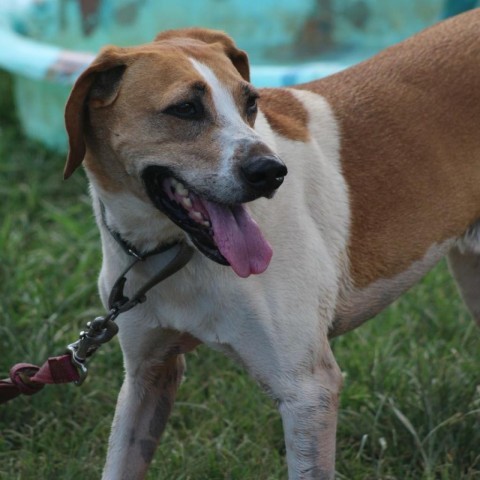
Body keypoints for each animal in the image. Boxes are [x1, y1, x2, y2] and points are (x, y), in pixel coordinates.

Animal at [63, 10, 480, 480]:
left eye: (251, 102)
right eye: (185, 108)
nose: (271, 172)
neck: (174, 257)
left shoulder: (308, 392)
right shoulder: (147, 376)